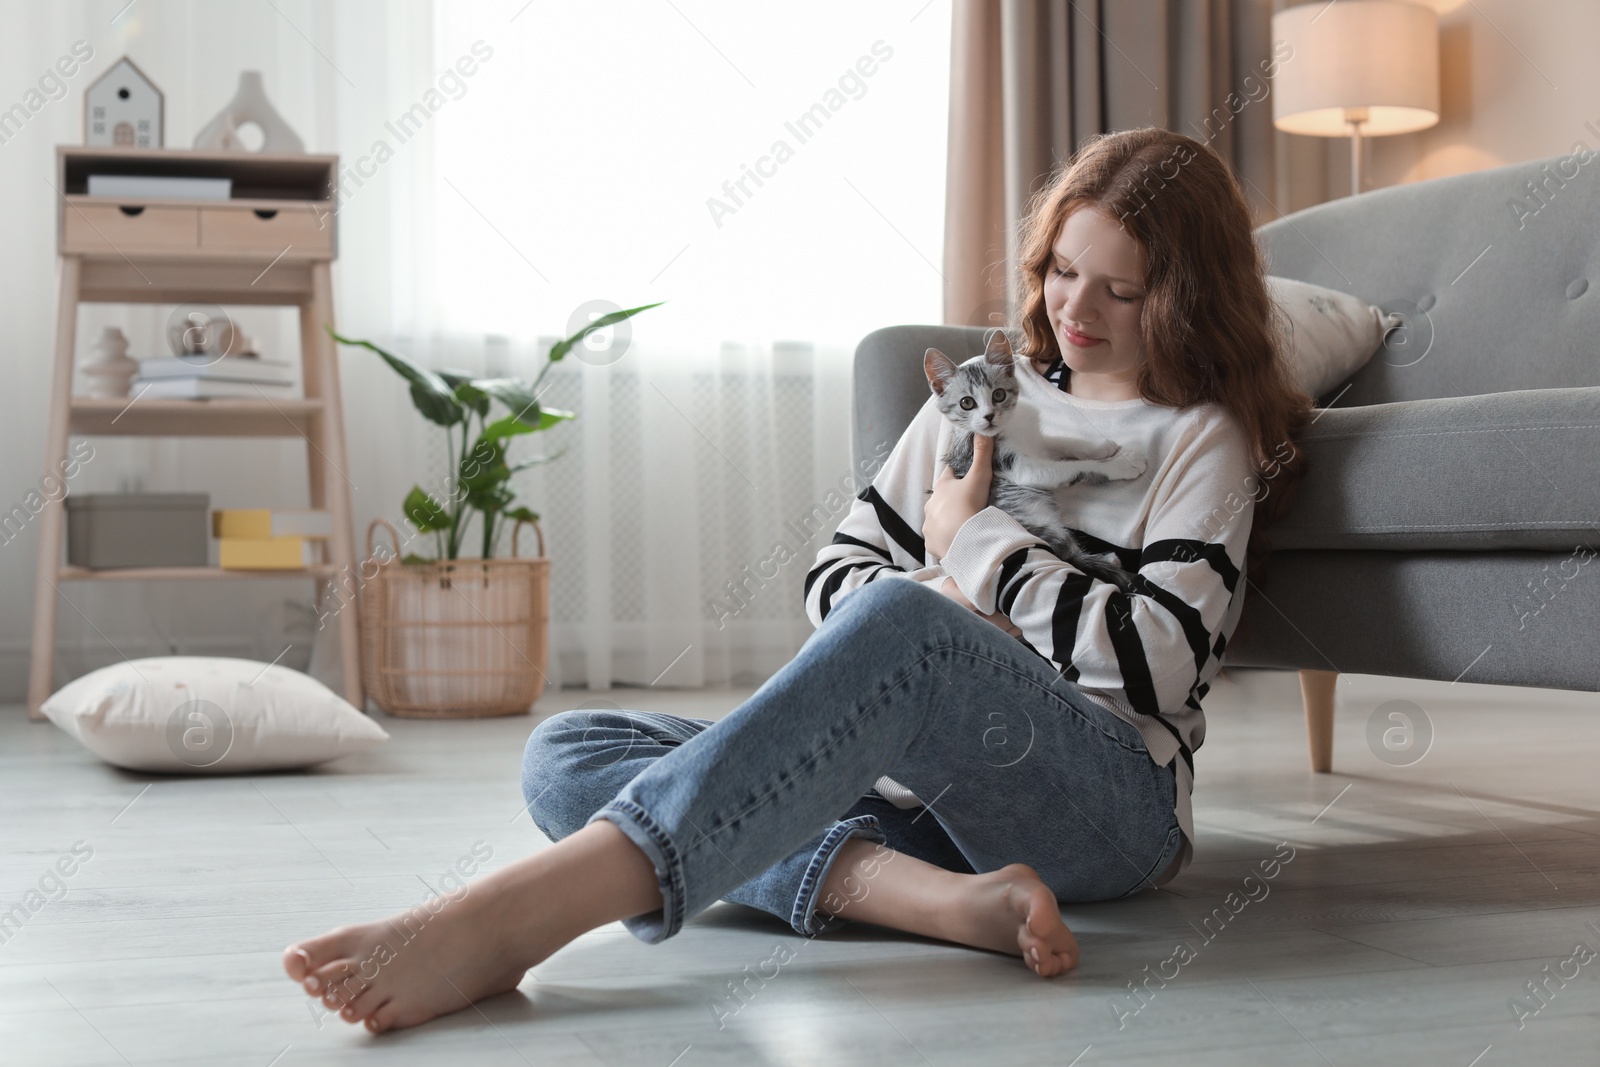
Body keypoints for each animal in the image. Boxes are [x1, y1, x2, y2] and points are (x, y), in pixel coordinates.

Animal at [928, 329, 1152, 591]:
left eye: (998, 394)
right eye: (967, 403)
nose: (989, 416)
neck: (1011, 426)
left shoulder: (1039, 441)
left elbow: (1065, 442)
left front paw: (1104, 446)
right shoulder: (1017, 467)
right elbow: (1077, 467)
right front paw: (1123, 464)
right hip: (1038, 526)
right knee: (1067, 554)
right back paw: (1108, 560)